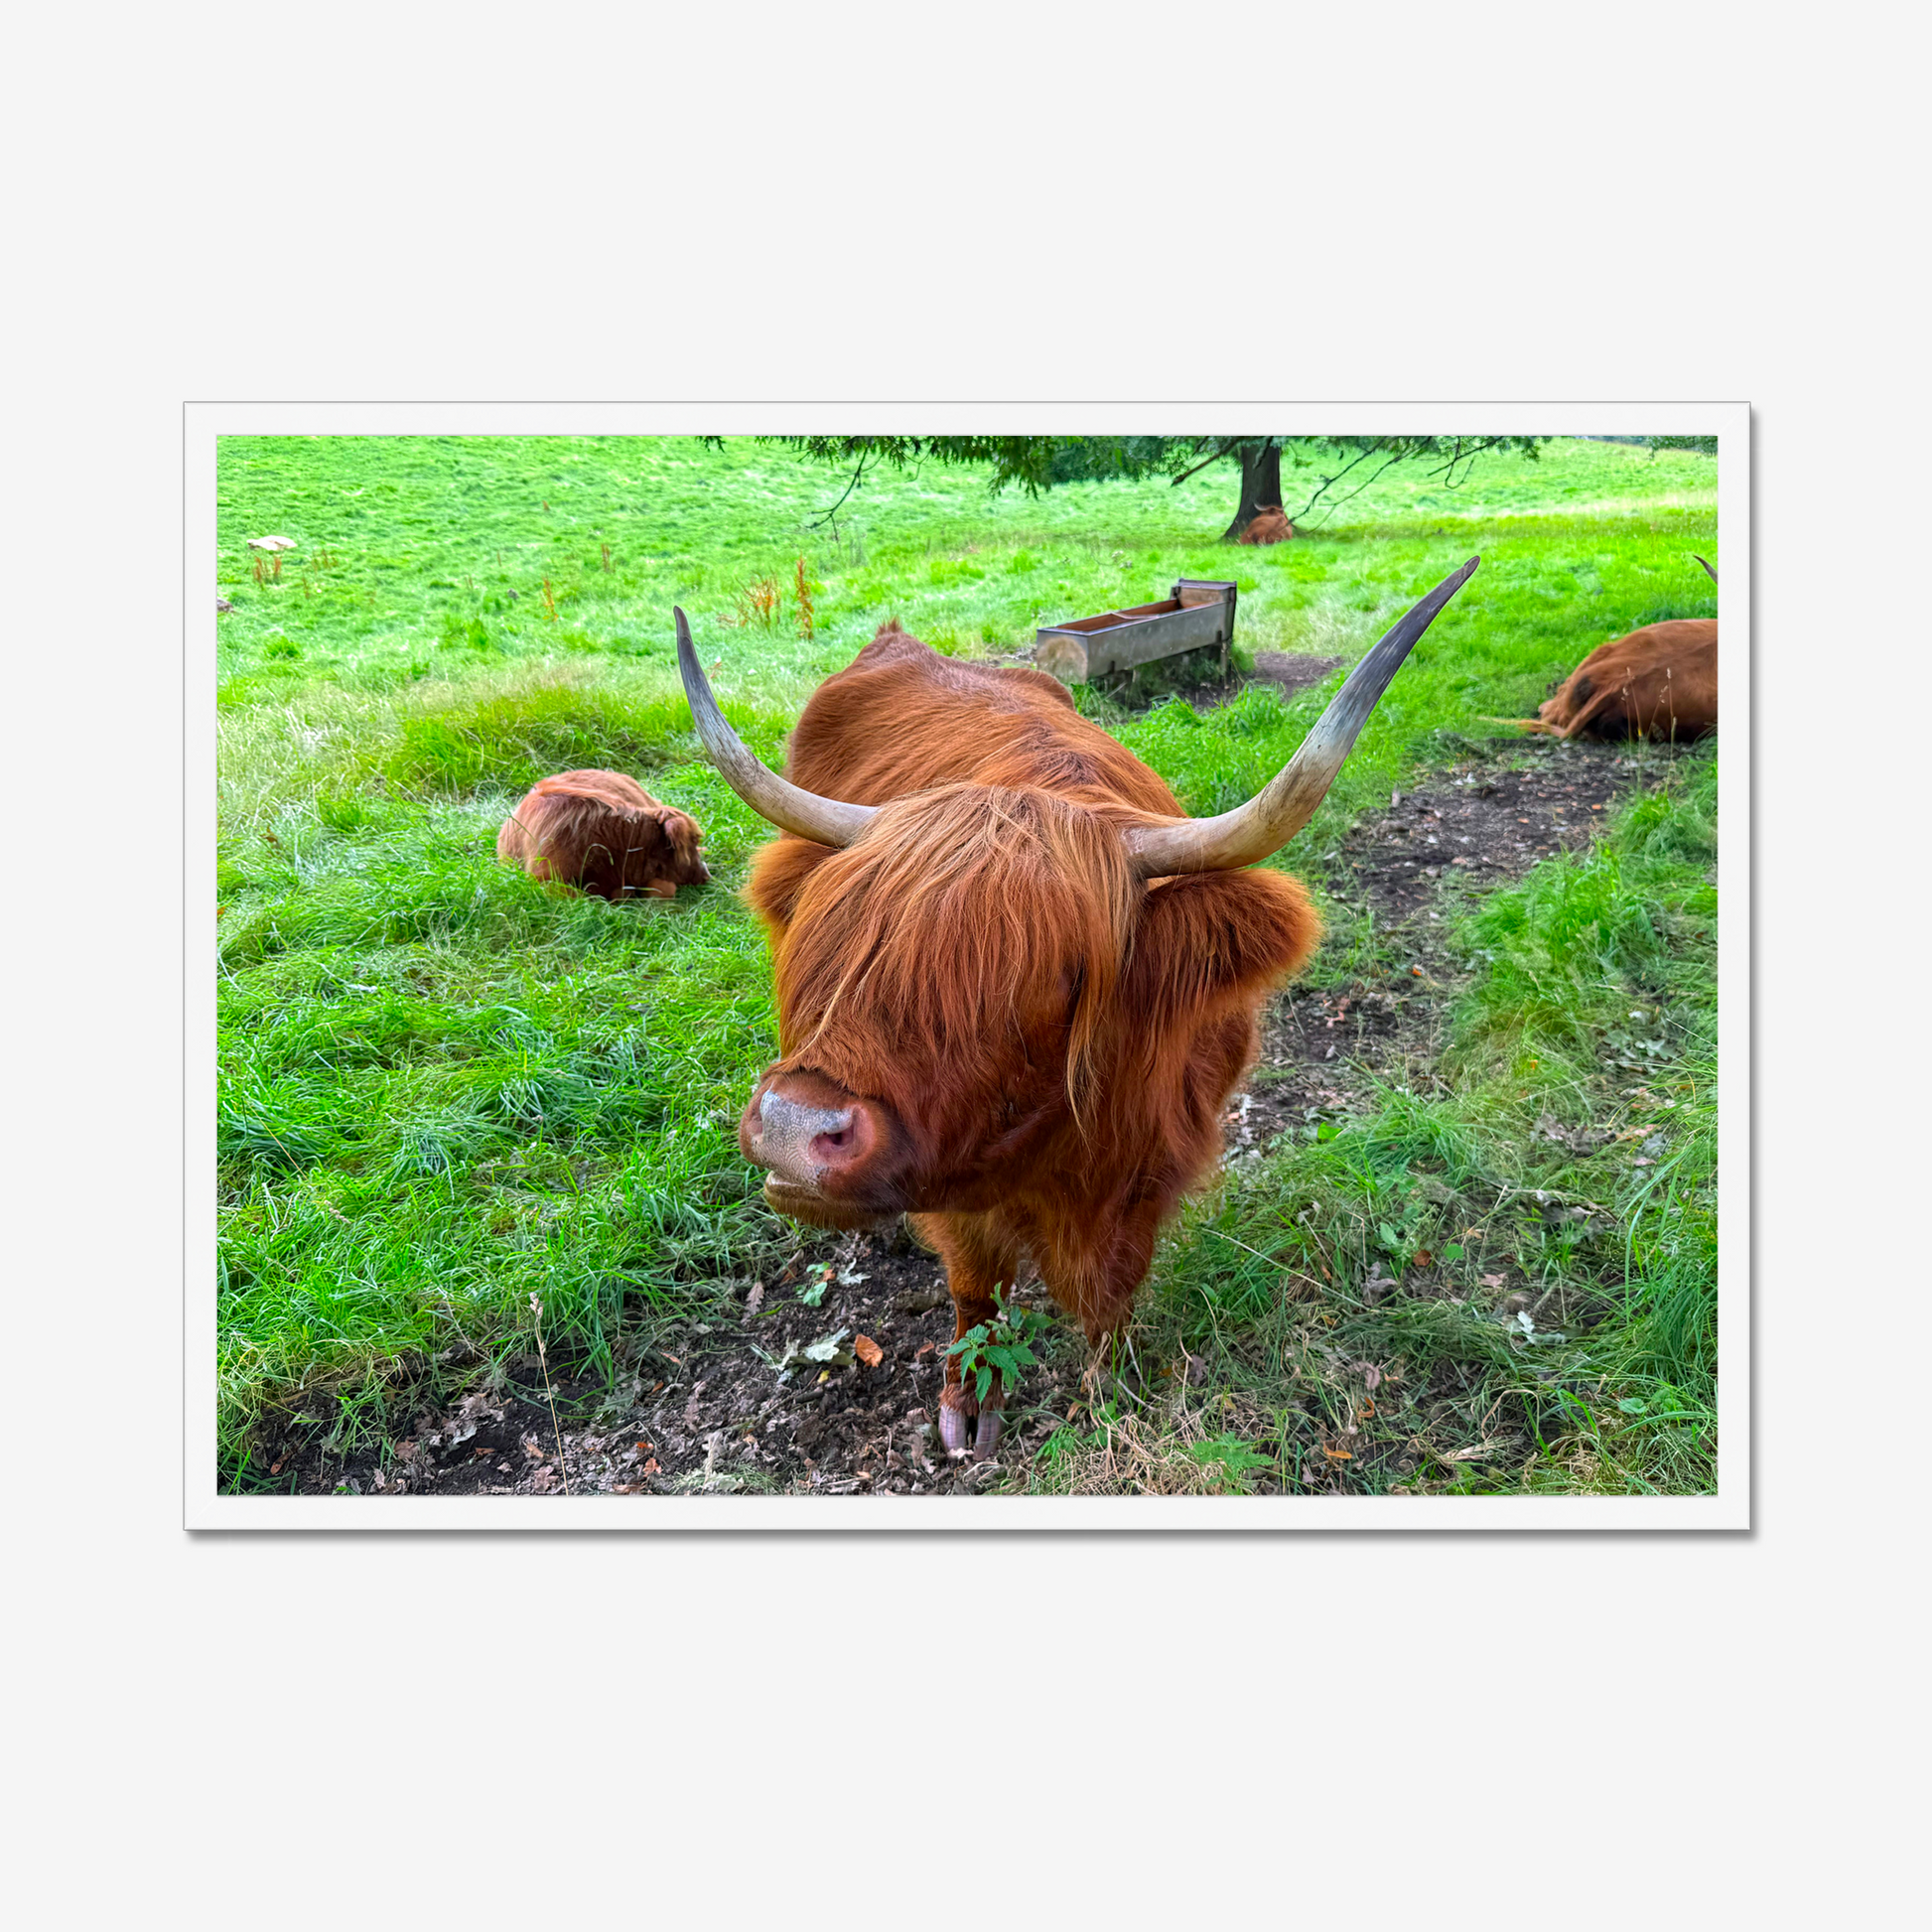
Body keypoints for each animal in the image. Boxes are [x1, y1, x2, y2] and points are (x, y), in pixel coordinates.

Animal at [675, 558, 1479, 1458]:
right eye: (839, 938)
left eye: (1055, 976)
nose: (793, 1127)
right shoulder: (958, 1187)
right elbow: (974, 1284)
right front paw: (968, 1401)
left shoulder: (1154, 1164)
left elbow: (1112, 1290)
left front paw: (1111, 1387)